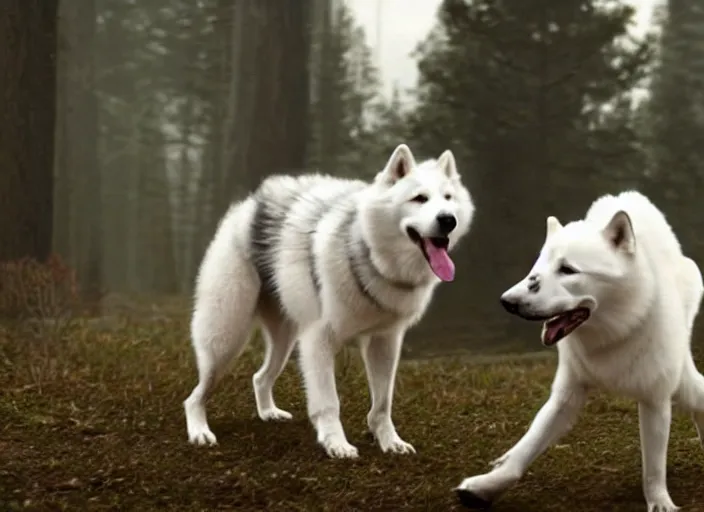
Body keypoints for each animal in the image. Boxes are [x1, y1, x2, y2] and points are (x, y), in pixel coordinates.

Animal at [184, 145, 476, 460]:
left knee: (259, 377)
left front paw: (389, 441)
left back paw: (268, 413)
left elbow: (382, 404)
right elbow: (329, 402)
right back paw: (199, 431)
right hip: (226, 340)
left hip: (285, 341)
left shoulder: (384, 343)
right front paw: (337, 444)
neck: (368, 254)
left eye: (448, 198)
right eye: (419, 198)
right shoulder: (319, 341)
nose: (448, 220)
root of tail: (251, 204)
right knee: (195, 397)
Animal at [456, 191, 704, 512]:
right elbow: (525, 451)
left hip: (682, 383)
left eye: (568, 270)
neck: (619, 332)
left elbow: (653, 469)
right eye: (536, 271)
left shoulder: (655, 401)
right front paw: (486, 487)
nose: (507, 302)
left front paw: (660, 503)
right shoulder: (565, 396)